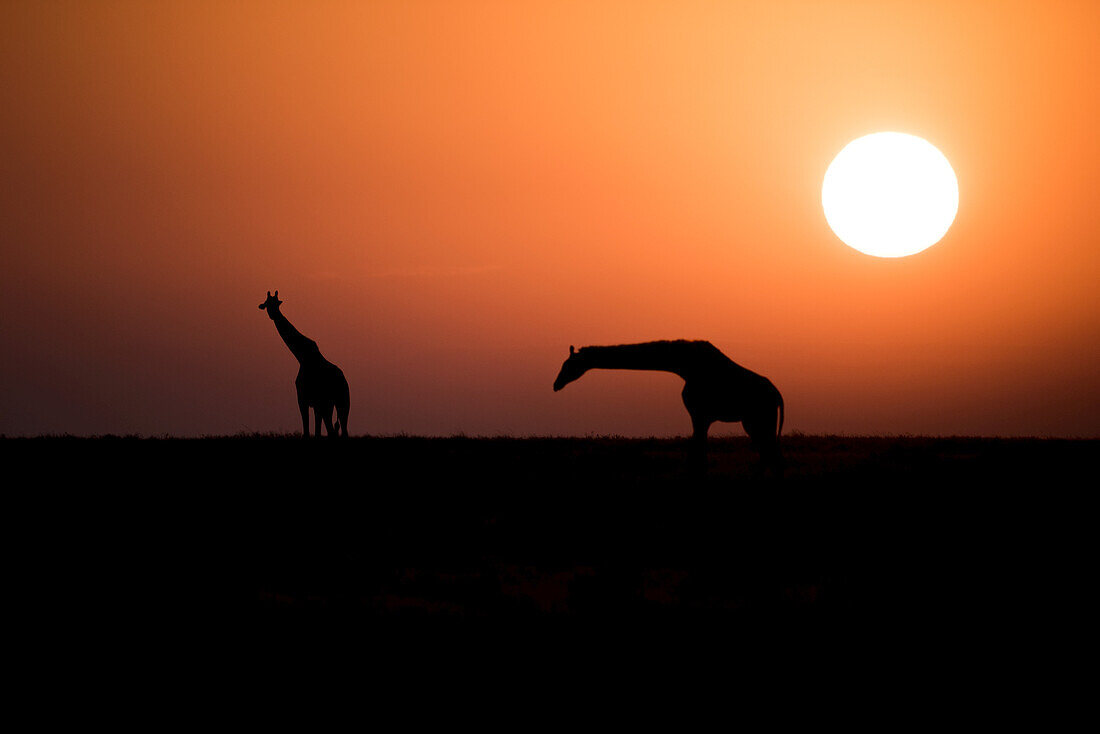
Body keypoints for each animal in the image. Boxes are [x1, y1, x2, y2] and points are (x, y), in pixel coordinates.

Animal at [257, 290, 347, 435]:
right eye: (266, 304)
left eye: (276, 303)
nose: (273, 315)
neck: (302, 356)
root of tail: (343, 380)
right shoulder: (312, 402)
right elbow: (314, 432)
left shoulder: (305, 399)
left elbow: (308, 432)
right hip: (336, 403)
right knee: (338, 430)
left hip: (335, 402)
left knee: (335, 430)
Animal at [558, 341, 783, 473]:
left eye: (568, 365)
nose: (556, 384)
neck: (683, 366)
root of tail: (778, 395)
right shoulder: (702, 416)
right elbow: (698, 446)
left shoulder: (700, 413)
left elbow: (698, 448)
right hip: (755, 421)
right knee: (769, 454)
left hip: (758, 420)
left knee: (770, 453)